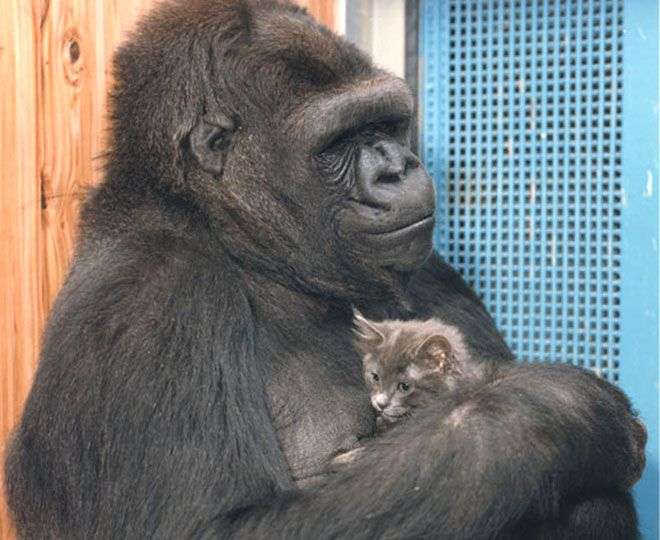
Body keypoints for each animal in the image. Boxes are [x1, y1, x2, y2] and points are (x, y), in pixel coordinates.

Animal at [3, 0, 644, 536]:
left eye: (385, 123)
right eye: (340, 141)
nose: (399, 167)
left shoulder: (427, 268)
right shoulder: (153, 295)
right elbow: (215, 526)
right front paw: (563, 408)